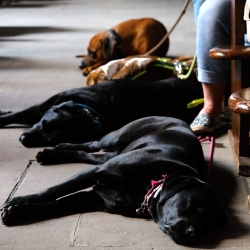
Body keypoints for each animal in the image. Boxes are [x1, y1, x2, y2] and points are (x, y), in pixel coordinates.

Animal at [0, 78, 202, 147]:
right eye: (43, 123)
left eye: (52, 140)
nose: (22, 139)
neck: (87, 109)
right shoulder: (41, 107)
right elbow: (13, 116)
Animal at [0, 117, 227, 246]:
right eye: (196, 205)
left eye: (208, 226)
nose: (193, 235)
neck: (149, 185)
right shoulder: (96, 173)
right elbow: (53, 191)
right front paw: (18, 201)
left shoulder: (91, 198)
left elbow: (55, 206)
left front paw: (19, 212)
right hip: (117, 137)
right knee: (94, 143)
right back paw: (54, 151)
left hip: (111, 152)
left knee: (91, 153)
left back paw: (56, 152)